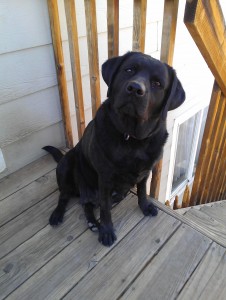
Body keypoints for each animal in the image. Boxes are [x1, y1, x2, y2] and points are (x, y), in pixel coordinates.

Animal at [42, 52, 185, 246]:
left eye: (157, 83)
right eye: (129, 70)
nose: (135, 89)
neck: (132, 139)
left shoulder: (145, 171)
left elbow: (142, 191)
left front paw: (145, 206)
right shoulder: (105, 178)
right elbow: (105, 209)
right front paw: (107, 231)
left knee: (86, 203)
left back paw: (93, 222)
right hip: (66, 165)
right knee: (65, 195)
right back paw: (59, 215)